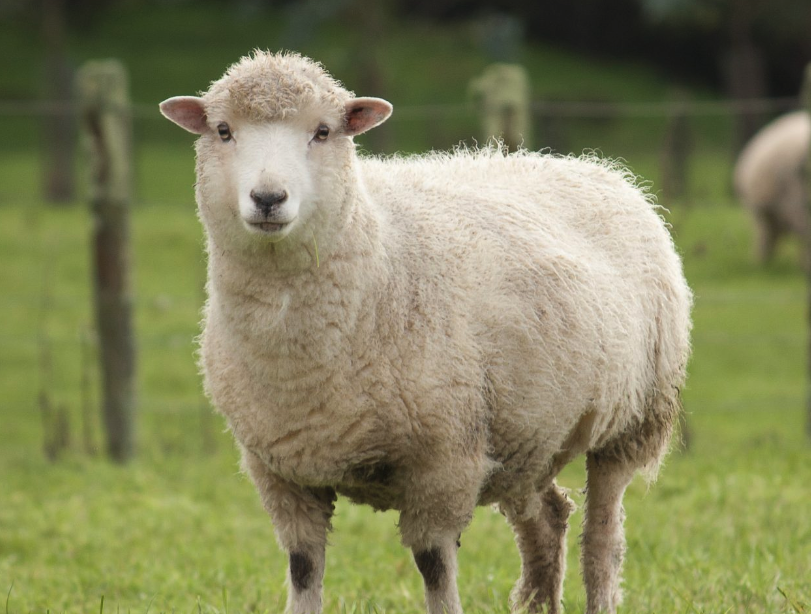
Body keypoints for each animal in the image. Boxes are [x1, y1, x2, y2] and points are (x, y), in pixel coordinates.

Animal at [162, 49, 696, 614]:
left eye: (323, 131)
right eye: (223, 130)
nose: (268, 197)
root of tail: (592, 166)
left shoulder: (444, 463)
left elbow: (435, 568)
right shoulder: (281, 472)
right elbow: (304, 569)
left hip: (632, 418)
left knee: (602, 539)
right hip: (524, 433)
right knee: (548, 520)